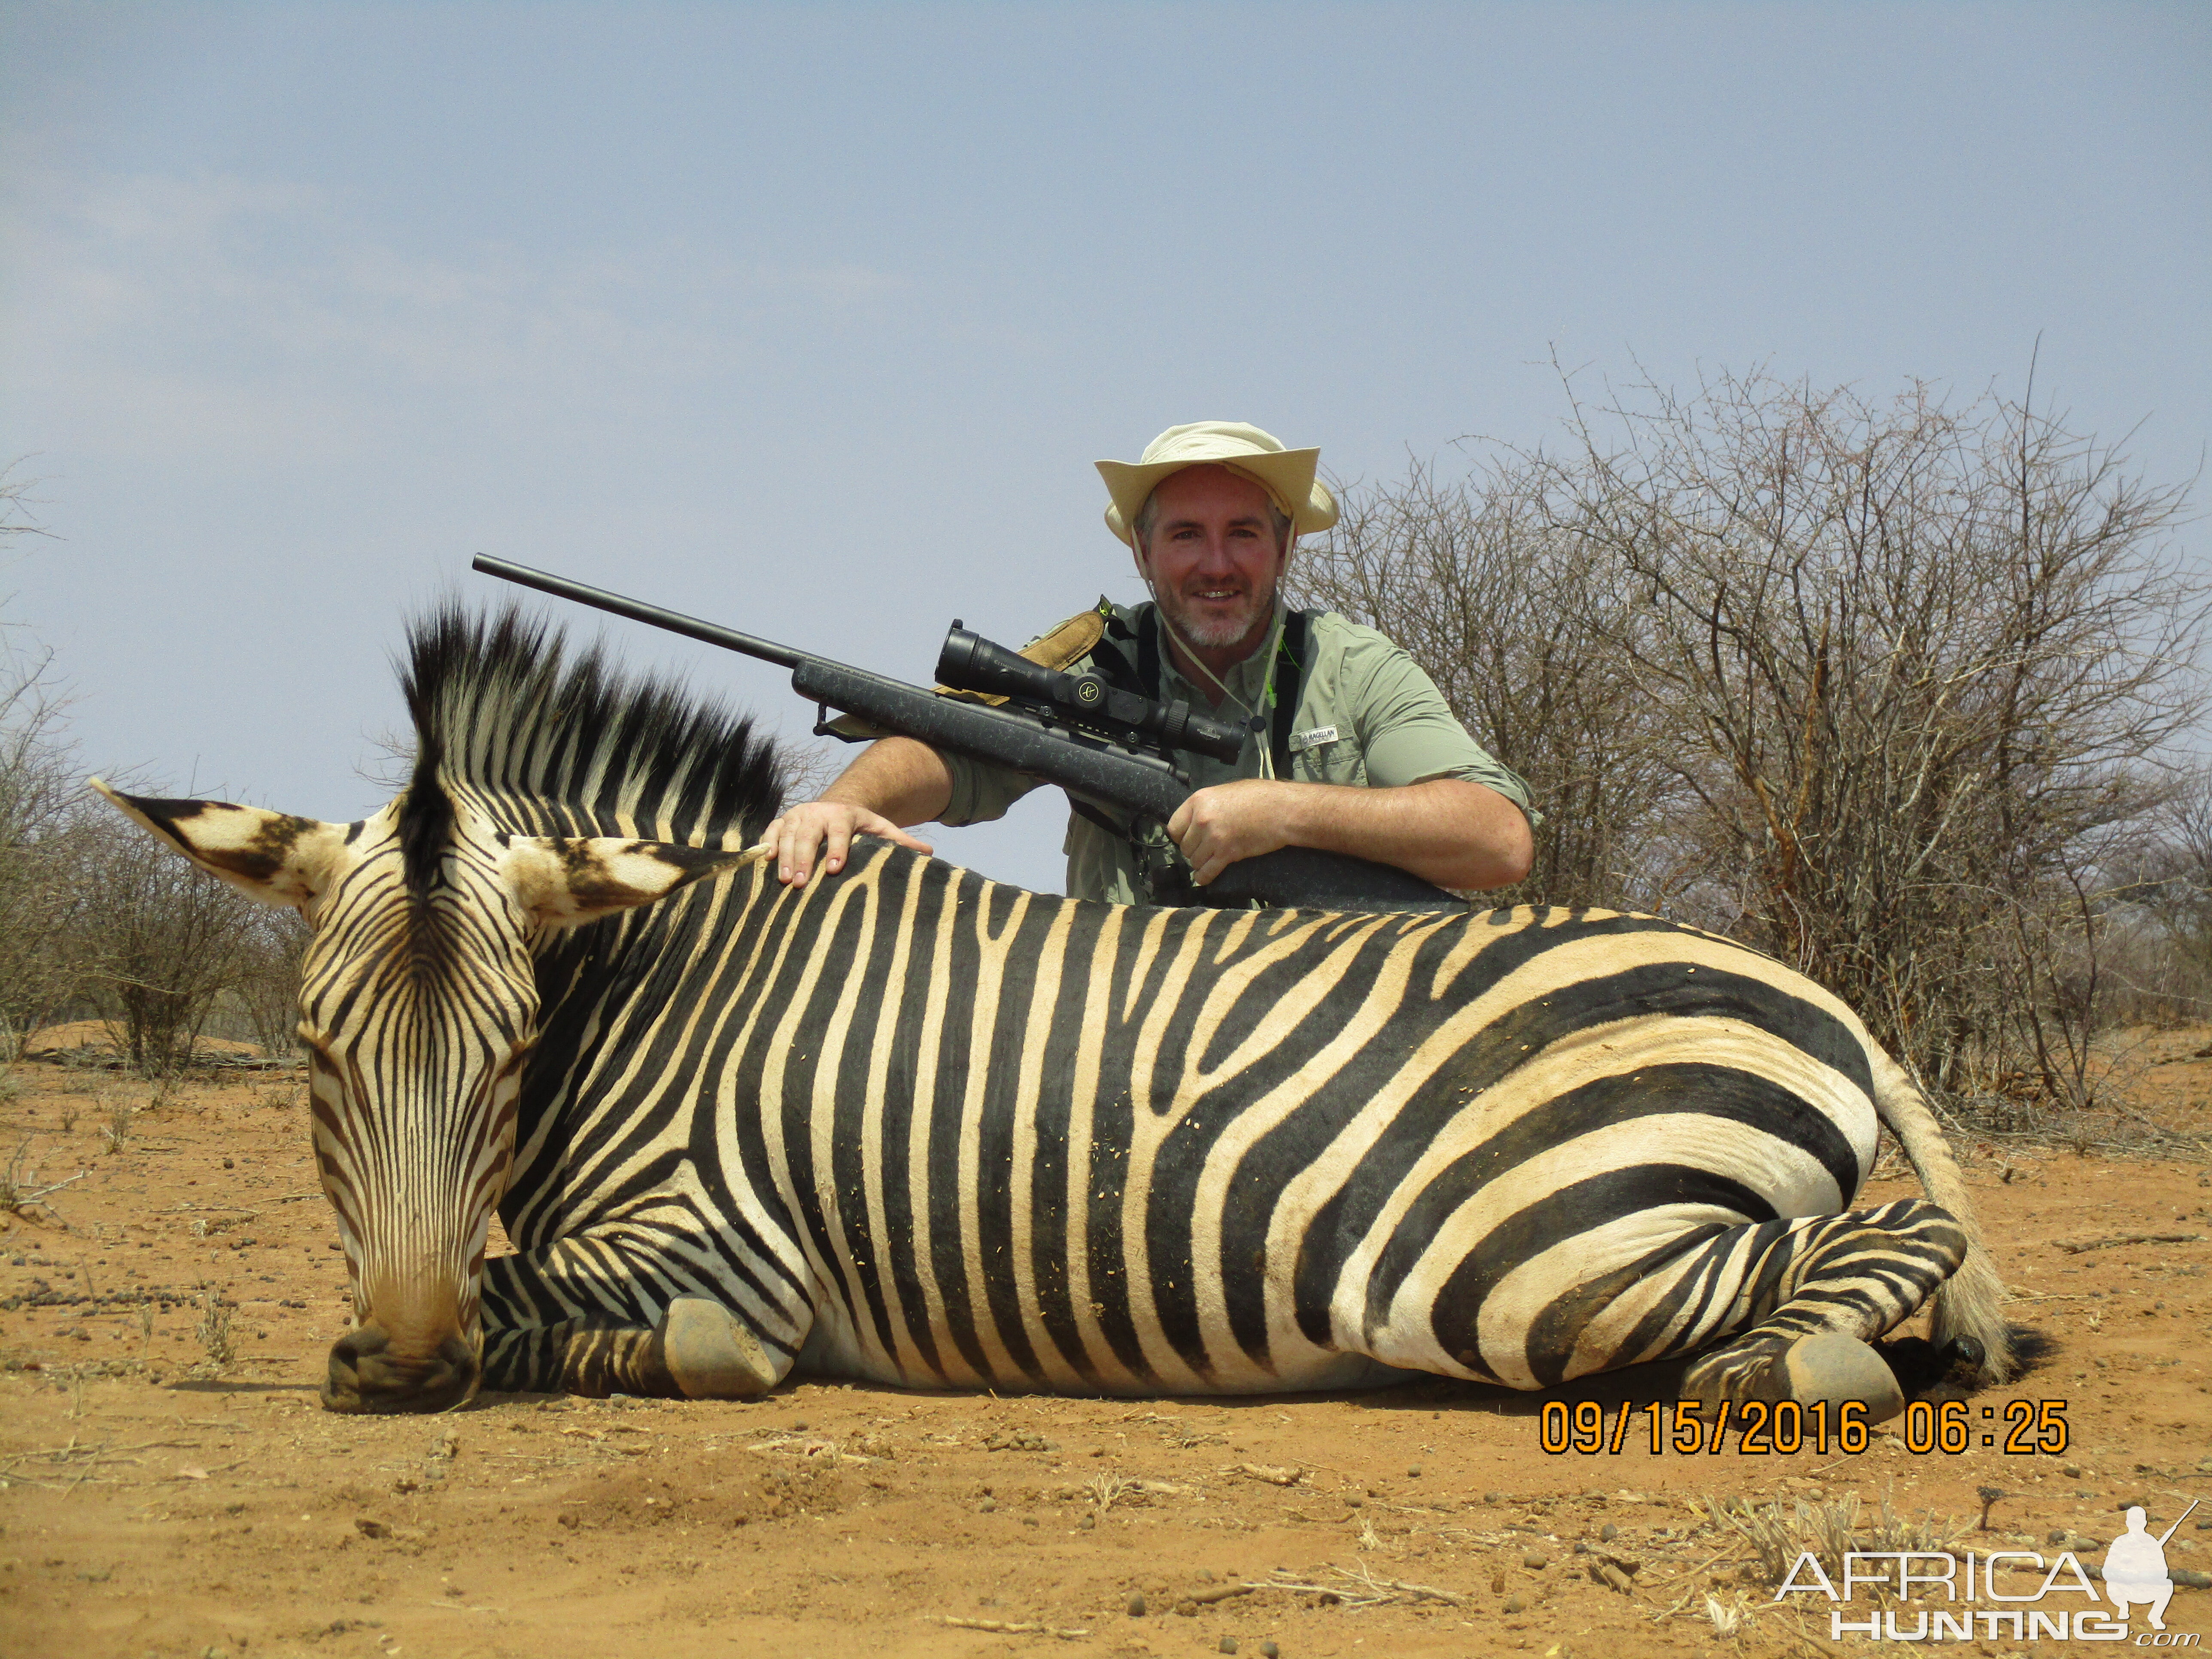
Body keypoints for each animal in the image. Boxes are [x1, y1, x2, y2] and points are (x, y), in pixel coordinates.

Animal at [99, 610, 2008, 1416]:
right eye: (317, 1055)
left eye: (505, 1057)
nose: (407, 1364)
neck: (656, 971)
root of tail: (1814, 994)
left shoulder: (722, 1248)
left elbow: (629, 1322)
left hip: (1534, 1258)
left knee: (1876, 1252)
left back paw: (1786, 1363)